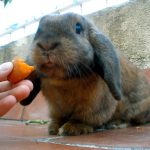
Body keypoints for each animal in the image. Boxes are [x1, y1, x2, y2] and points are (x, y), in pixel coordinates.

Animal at [20, 12, 150, 136]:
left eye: (78, 27)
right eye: (38, 29)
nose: (47, 44)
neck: (62, 81)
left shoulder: (93, 106)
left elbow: (83, 118)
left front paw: (72, 128)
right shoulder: (56, 108)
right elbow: (58, 118)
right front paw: (53, 128)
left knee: (133, 120)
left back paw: (115, 124)